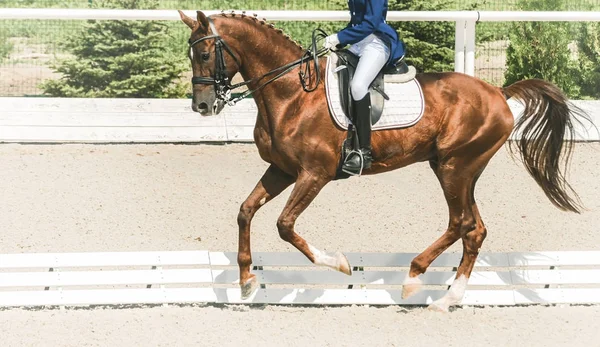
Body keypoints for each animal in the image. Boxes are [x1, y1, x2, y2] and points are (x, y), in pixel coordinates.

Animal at [178, 10, 592, 312]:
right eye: (190, 54)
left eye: (204, 53)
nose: (202, 106)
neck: (292, 92)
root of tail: (499, 93)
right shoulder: (281, 169)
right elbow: (246, 211)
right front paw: (247, 281)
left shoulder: (314, 174)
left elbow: (284, 225)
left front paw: (341, 264)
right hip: (460, 169)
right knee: (474, 229)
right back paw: (449, 299)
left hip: (454, 167)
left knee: (460, 223)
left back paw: (413, 278)